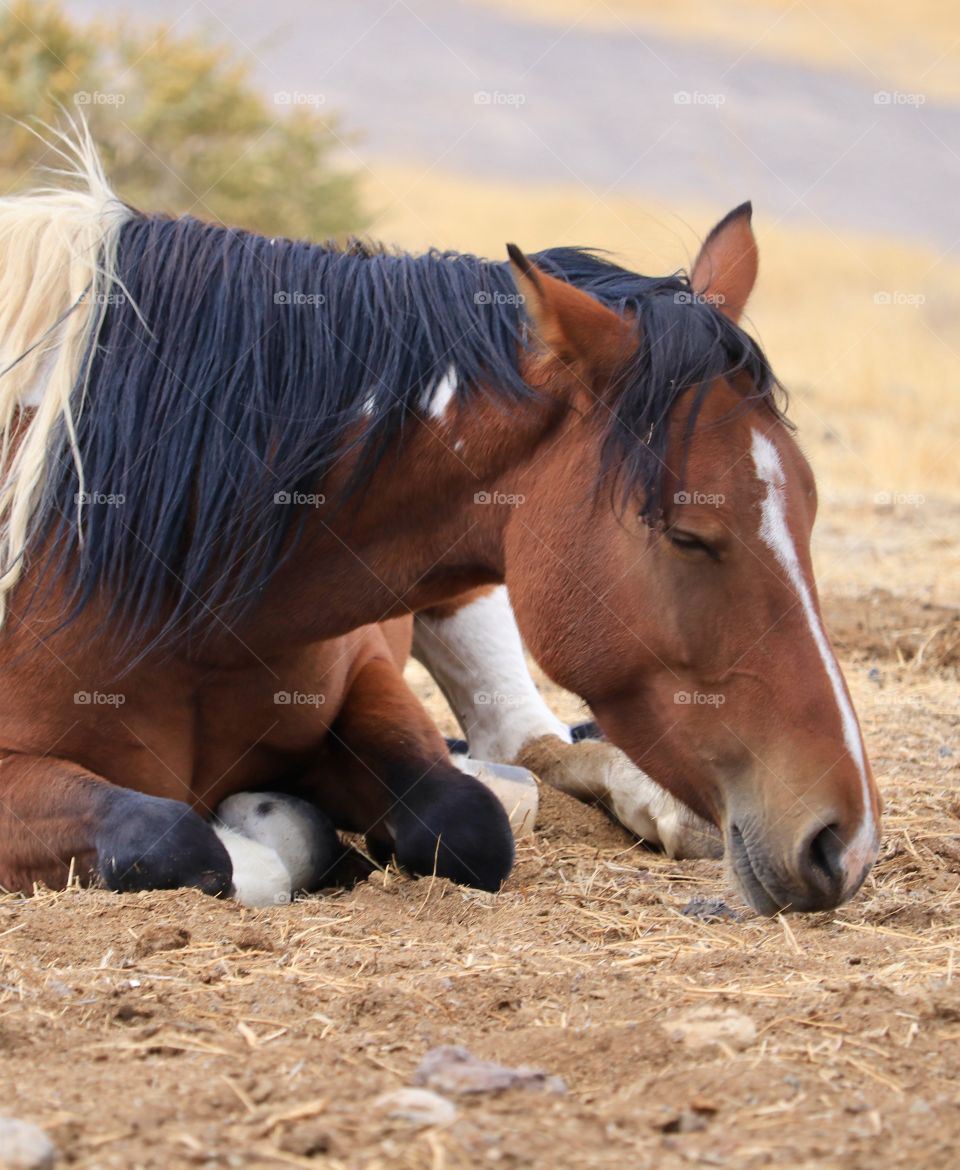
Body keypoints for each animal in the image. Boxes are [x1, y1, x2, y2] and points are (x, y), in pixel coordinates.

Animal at [0, 130, 879, 912]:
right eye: (687, 534)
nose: (844, 839)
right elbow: (174, 839)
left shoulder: (368, 678)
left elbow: (466, 819)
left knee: (524, 744)